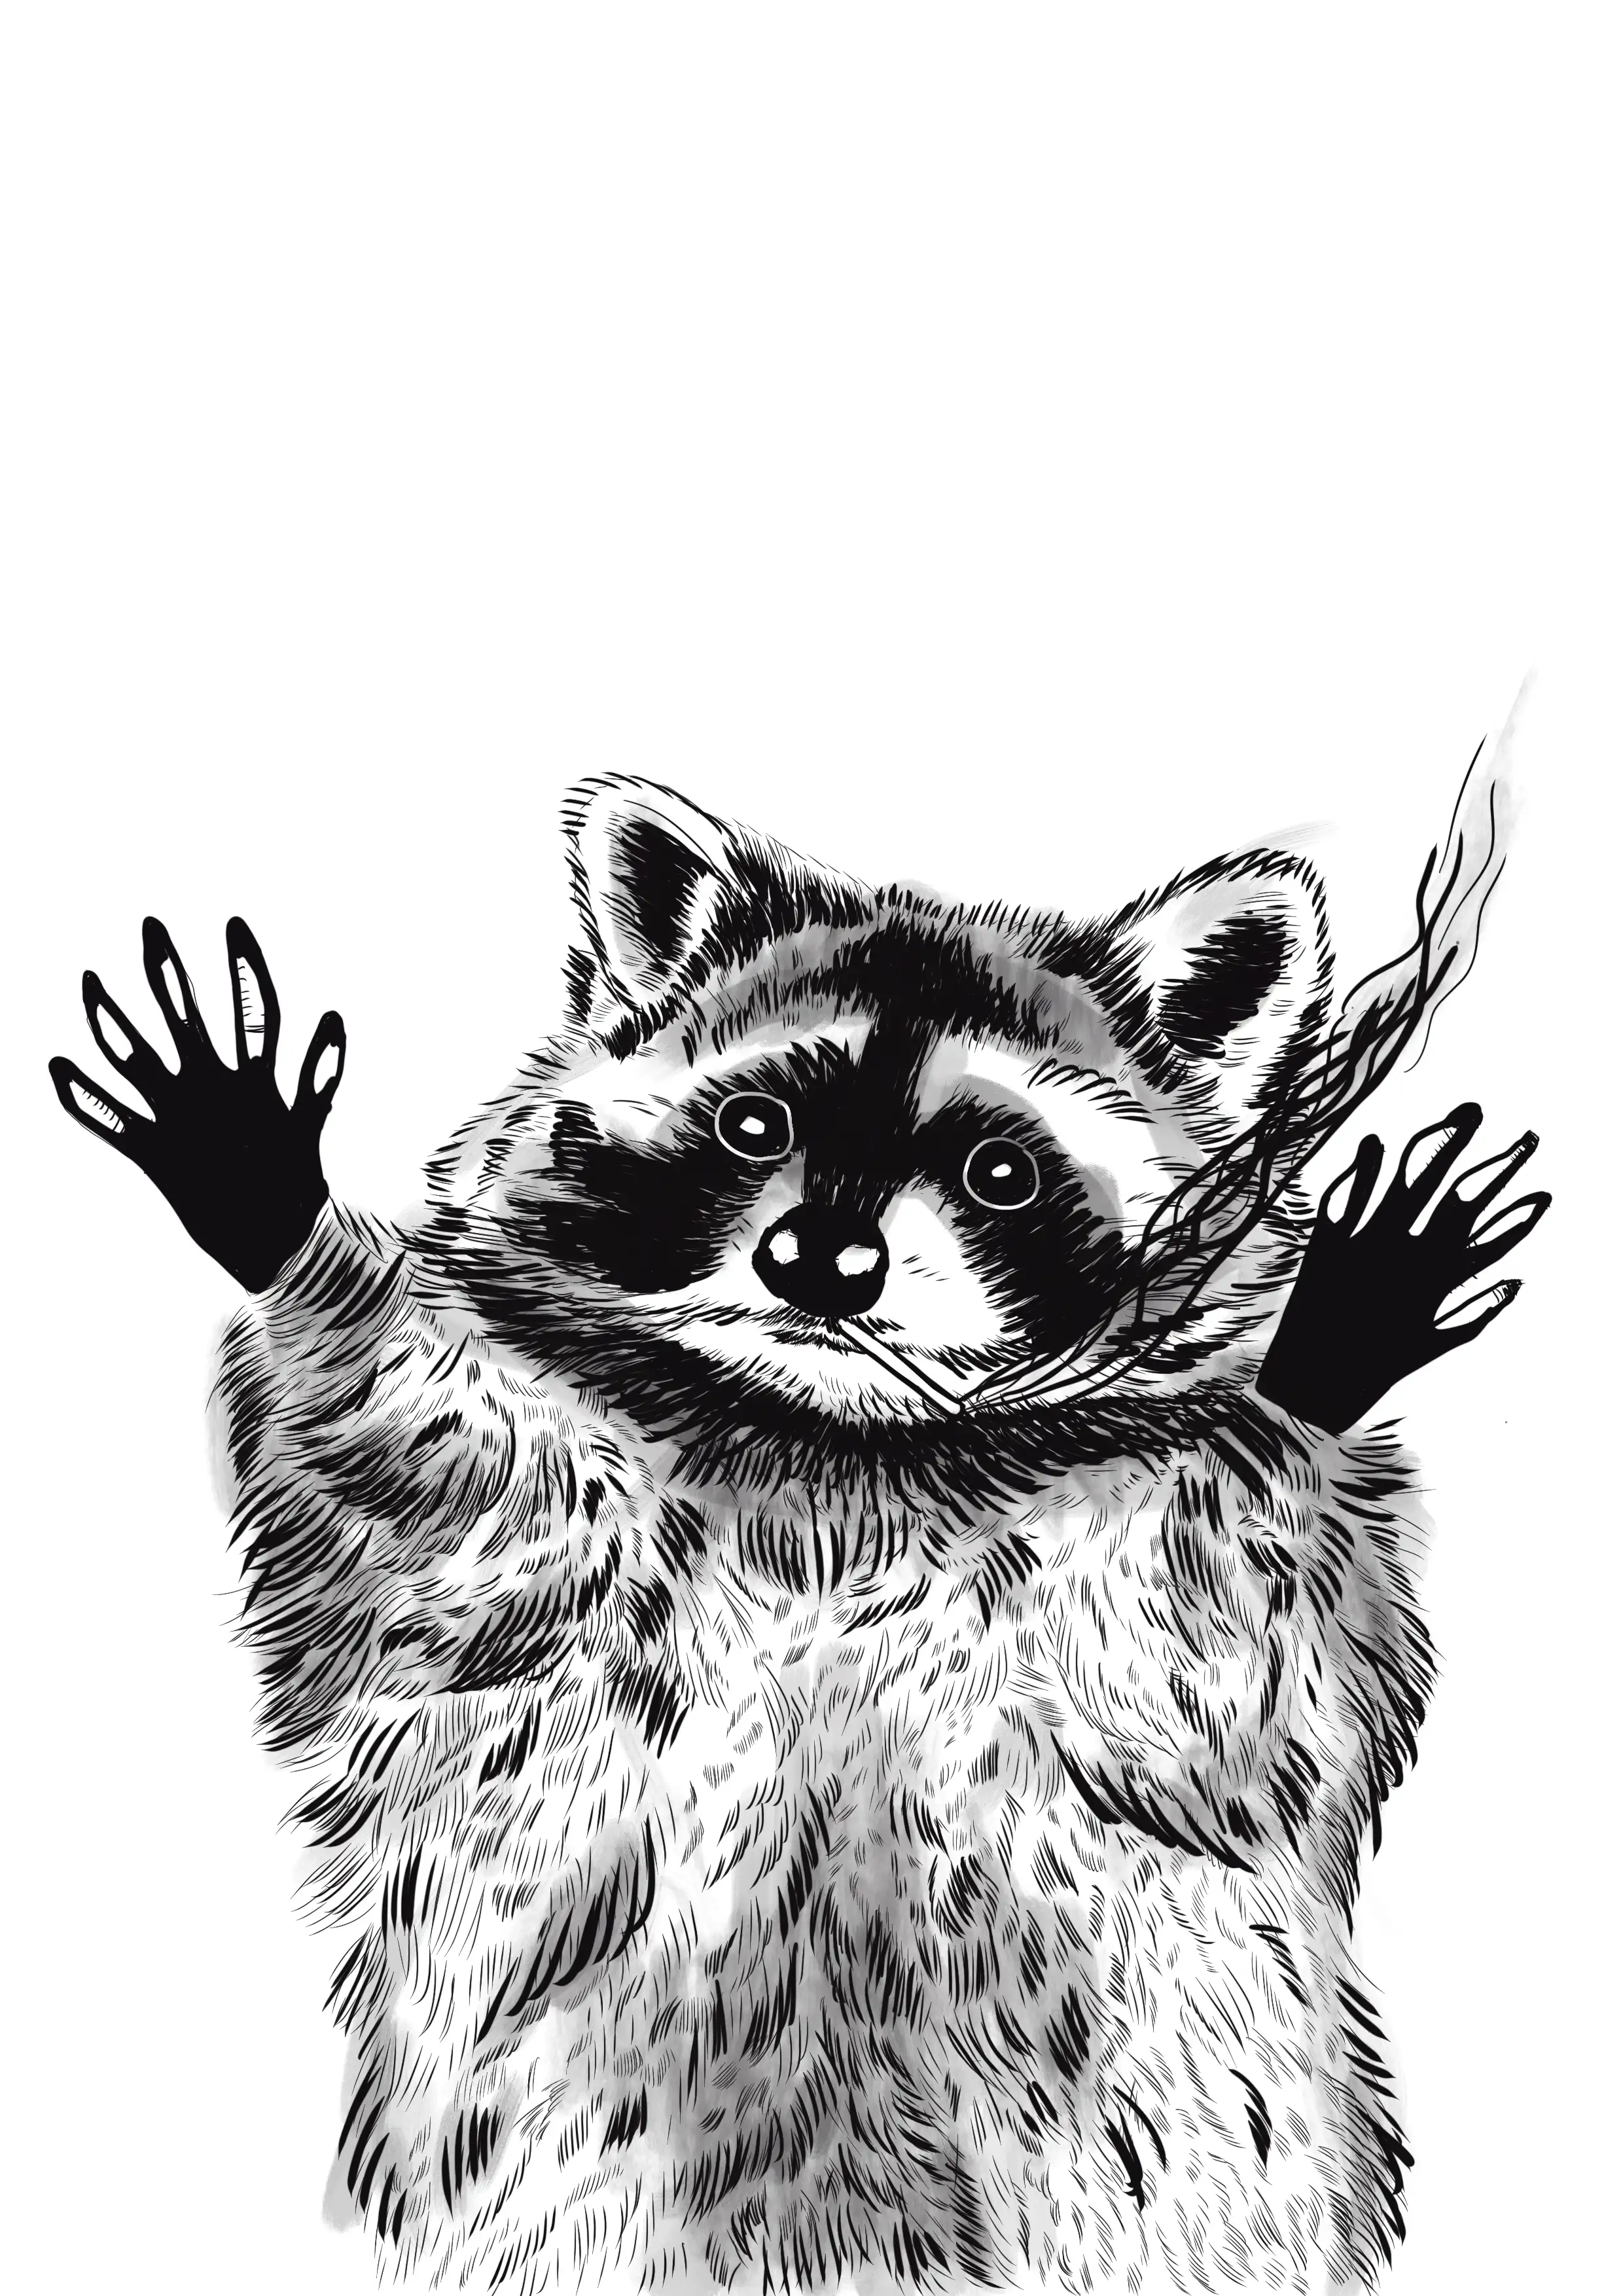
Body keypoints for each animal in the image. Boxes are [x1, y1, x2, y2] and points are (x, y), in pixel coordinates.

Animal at [51, 773, 1546, 2295]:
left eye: (1000, 1168)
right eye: (755, 1124)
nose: (821, 1257)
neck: (831, 1438)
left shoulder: (1154, 1600)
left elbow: (1209, 1679)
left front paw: (1319, 1358)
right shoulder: (555, 1524)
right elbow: (444, 1501)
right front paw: (276, 1213)